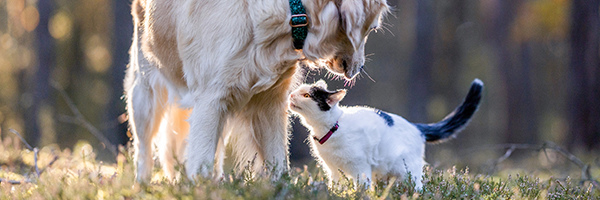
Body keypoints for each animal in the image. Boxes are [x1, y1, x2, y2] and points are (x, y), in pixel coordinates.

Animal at [124, 0, 392, 181]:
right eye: (372, 28)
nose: (360, 68)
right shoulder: (210, 100)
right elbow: (199, 163)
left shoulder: (269, 102)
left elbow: (278, 163)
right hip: (145, 96)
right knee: (144, 151)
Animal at [290, 79, 482, 188]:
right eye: (297, 90)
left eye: (306, 95)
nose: (290, 95)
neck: (331, 128)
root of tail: (416, 127)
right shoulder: (333, 170)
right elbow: (336, 187)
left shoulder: (360, 169)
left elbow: (361, 190)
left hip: (408, 172)